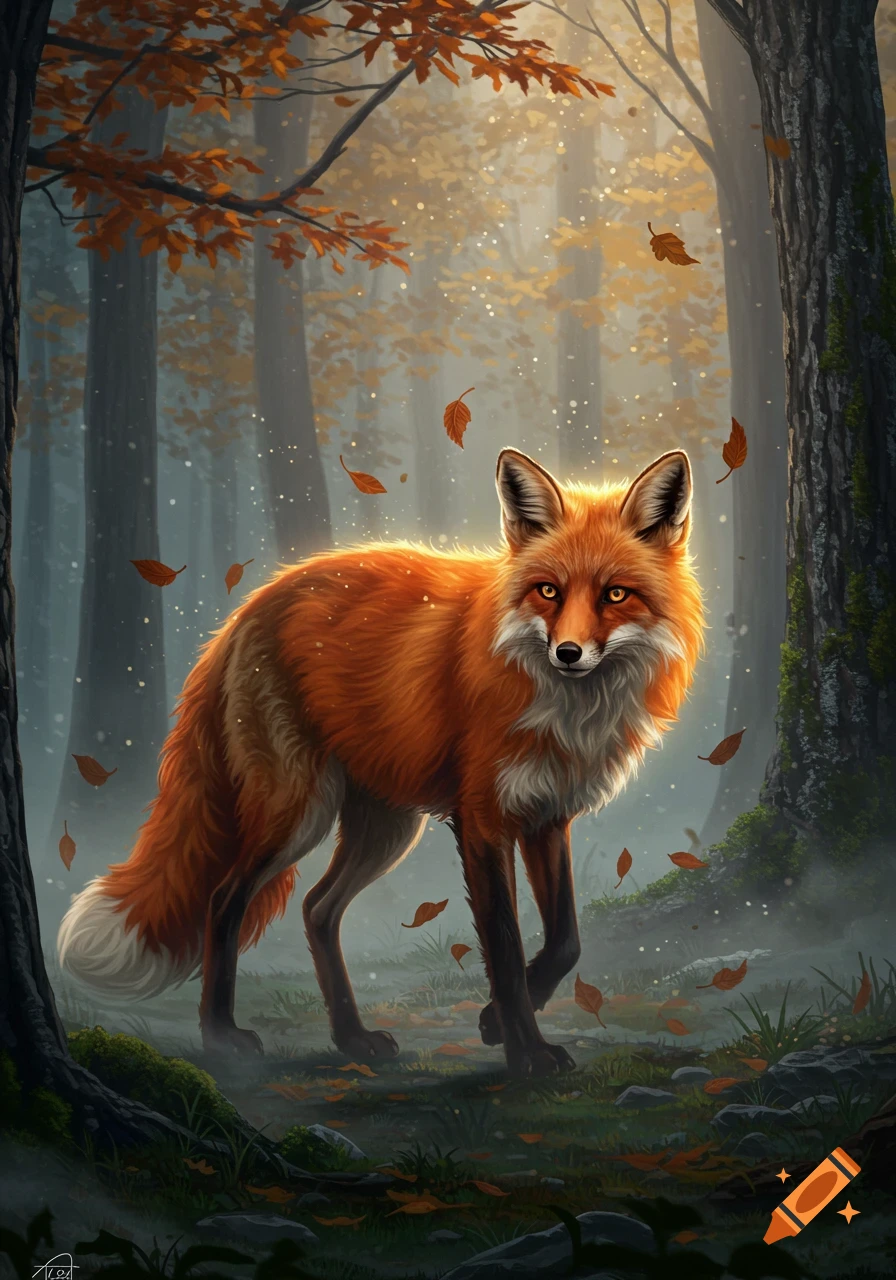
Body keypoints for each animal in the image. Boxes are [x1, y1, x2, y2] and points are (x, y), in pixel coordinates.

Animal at [58, 447, 704, 1077]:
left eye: (615, 594)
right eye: (548, 591)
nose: (567, 652)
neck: (564, 708)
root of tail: (244, 610)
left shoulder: (547, 816)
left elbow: (565, 940)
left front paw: (495, 1024)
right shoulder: (482, 819)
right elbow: (505, 945)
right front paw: (527, 1053)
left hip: (387, 827)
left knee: (317, 910)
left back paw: (352, 1037)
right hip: (299, 812)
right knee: (225, 899)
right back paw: (220, 1035)